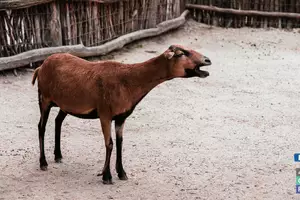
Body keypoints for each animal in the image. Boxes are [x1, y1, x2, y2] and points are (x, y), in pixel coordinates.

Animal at [31, 45, 211, 184]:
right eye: (182, 53)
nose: (207, 60)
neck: (129, 81)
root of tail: (41, 66)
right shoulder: (104, 114)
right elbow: (109, 144)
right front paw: (106, 176)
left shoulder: (121, 117)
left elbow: (119, 143)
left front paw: (122, 173)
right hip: (44, 98)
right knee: (41, 127)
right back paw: (43, 163)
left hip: (66, 104)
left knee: (57, 121)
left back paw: (58, 156)